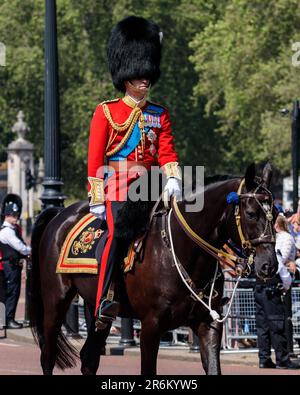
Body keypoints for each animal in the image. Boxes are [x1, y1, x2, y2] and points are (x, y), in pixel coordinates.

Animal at [29, 162, 278, 376]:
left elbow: (214, 368)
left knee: (89, 358)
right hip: (55, 301)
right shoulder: (151, 325)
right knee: (48, 356)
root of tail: (59, 213)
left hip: (96, 309)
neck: (181, 250)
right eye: (251, 214)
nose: (269, 265)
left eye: (275, 214)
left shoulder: (208, 325)